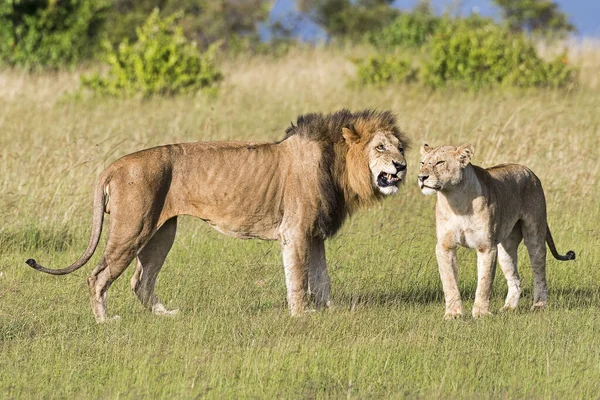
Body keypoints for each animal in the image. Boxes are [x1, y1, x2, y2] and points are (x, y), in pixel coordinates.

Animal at [23, 109, 408, 322]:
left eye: (400, 147)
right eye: (380, 147)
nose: (402, 166)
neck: (337, 165)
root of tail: (114, 165)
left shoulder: (314, 233)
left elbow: (322, 276)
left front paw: (330, 311)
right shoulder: (295, 230)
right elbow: (299, 278)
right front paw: (302, 315)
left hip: (161, 232)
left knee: (140, 280)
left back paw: (165, 316)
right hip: (132, 228)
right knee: (98, 276)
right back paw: (106, 322)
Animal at [420, 144, 576, 318]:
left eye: (440, 162)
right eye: (422, 163)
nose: (421, 177)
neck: (456, 199)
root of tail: (529, 171)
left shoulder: (486, 247)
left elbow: (484, 282)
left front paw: (480, 313)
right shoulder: (445, 246)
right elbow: (449, 282)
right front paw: (454, 314)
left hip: (534, 235)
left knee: (539, 272)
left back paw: (539, 305)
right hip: (505, 249)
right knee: (515, 280)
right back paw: (508, 308)